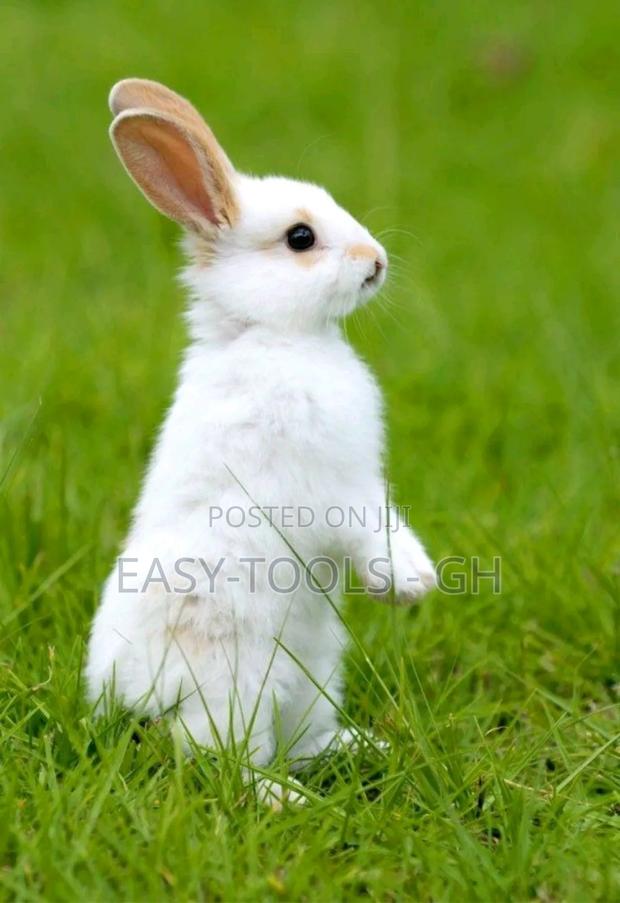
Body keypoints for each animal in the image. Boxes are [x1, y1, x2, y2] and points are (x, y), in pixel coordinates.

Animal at [86, 78, 436, 804]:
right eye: (300, 238)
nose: (376, 261)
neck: (272, 336)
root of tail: (128, 696)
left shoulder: (362, 480)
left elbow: (389, 518)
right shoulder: (331, 491)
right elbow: (370, 530)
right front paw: (408, 585)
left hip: (313, 674)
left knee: (295, 741)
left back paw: (360, 748)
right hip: (236, 684)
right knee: (215, 757)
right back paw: (284, 799)